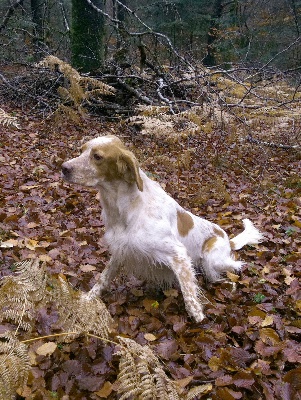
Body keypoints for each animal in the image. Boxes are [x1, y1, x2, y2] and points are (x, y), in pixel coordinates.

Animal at [61, 135, 262, 322]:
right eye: (81, 150)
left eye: (97, 156)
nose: (63, 167)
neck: (126, 207)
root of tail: (228, 239)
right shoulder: (121, 249)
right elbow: (103, 278)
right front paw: (87, 299)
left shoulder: (178, 255)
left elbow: (188, 292)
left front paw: (197, 315)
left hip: (211, 259)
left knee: (235, 266)